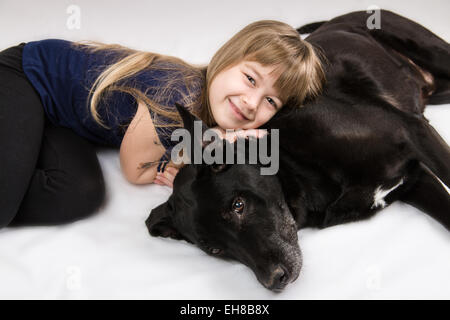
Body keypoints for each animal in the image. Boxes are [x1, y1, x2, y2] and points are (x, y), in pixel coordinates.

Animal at [146, 10, 448, 292]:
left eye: (237, 205)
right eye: (215, 249)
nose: (274, 280)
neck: (296, 164)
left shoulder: (413, 134)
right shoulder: (413, 179)